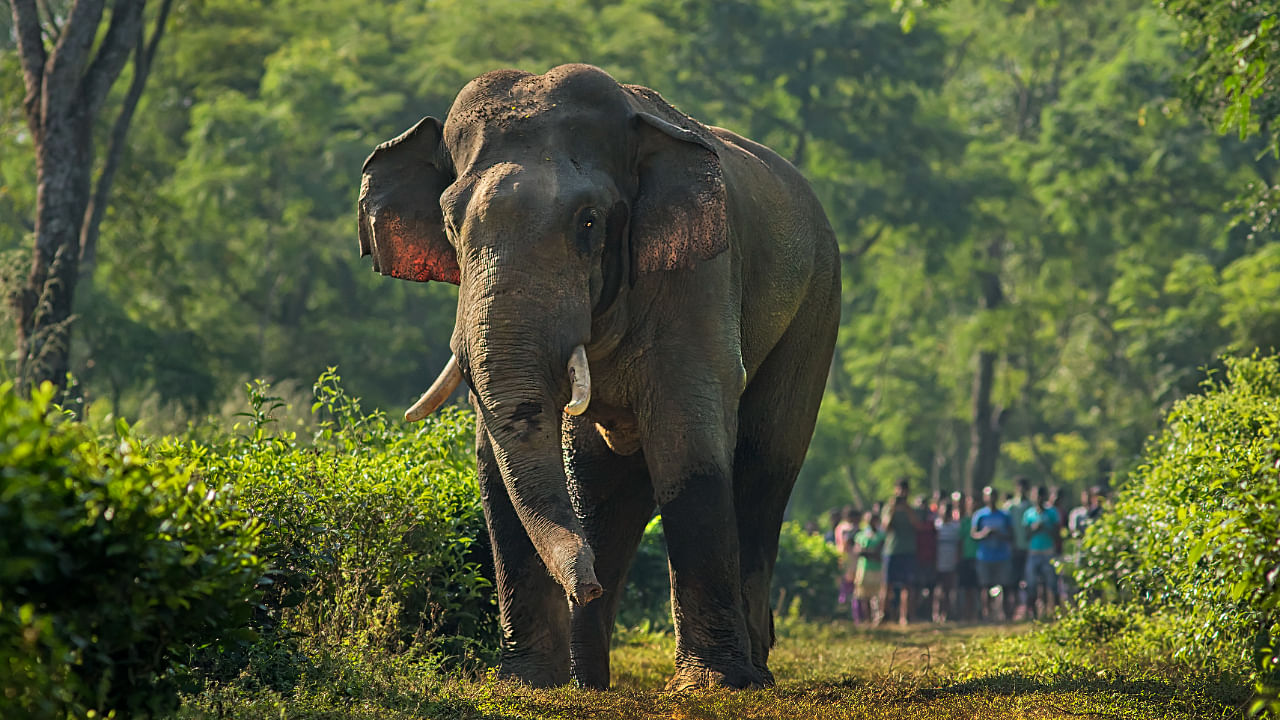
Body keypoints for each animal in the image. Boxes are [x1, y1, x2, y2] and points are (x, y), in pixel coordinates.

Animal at [358, 64, 839, 686]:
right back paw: (588, 678)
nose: (583, 585)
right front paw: (524, 682)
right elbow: (496, 459)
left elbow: (687, 444)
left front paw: (710, 685)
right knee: (603, 486)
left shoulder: (700, 279)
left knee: (764, 470)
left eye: (588, 222)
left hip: (817, 305)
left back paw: (753, 672)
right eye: (449, 222)